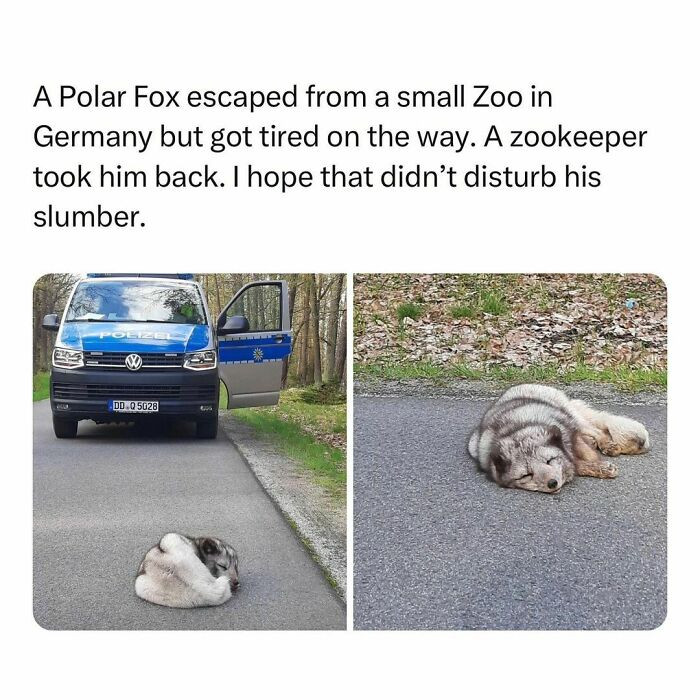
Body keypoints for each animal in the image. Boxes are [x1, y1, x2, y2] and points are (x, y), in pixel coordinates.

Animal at [468, 384, 650, 493]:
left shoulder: (572, 433)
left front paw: (599, 465)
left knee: (597, 430)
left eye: (549, 461)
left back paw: (607, 445)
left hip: (573, 417)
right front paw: (595, 467)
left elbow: (585, 456)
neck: (517, 431)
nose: (552, 483)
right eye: (526, 475)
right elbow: (577, 465)